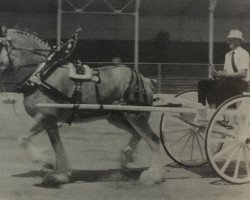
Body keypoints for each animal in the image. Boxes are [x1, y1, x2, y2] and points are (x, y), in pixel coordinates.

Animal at [0, 27, 166, 185]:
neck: (42, 74)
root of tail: (145, 79)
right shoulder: (50, 122)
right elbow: (57, 146)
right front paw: (59, 175)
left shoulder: (44, 115)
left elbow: (22, 138)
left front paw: (44, 160)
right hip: (118, 117)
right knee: (137, 134)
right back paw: (127, 156)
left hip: (136, 115)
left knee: (153, 140)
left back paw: (153, 176)